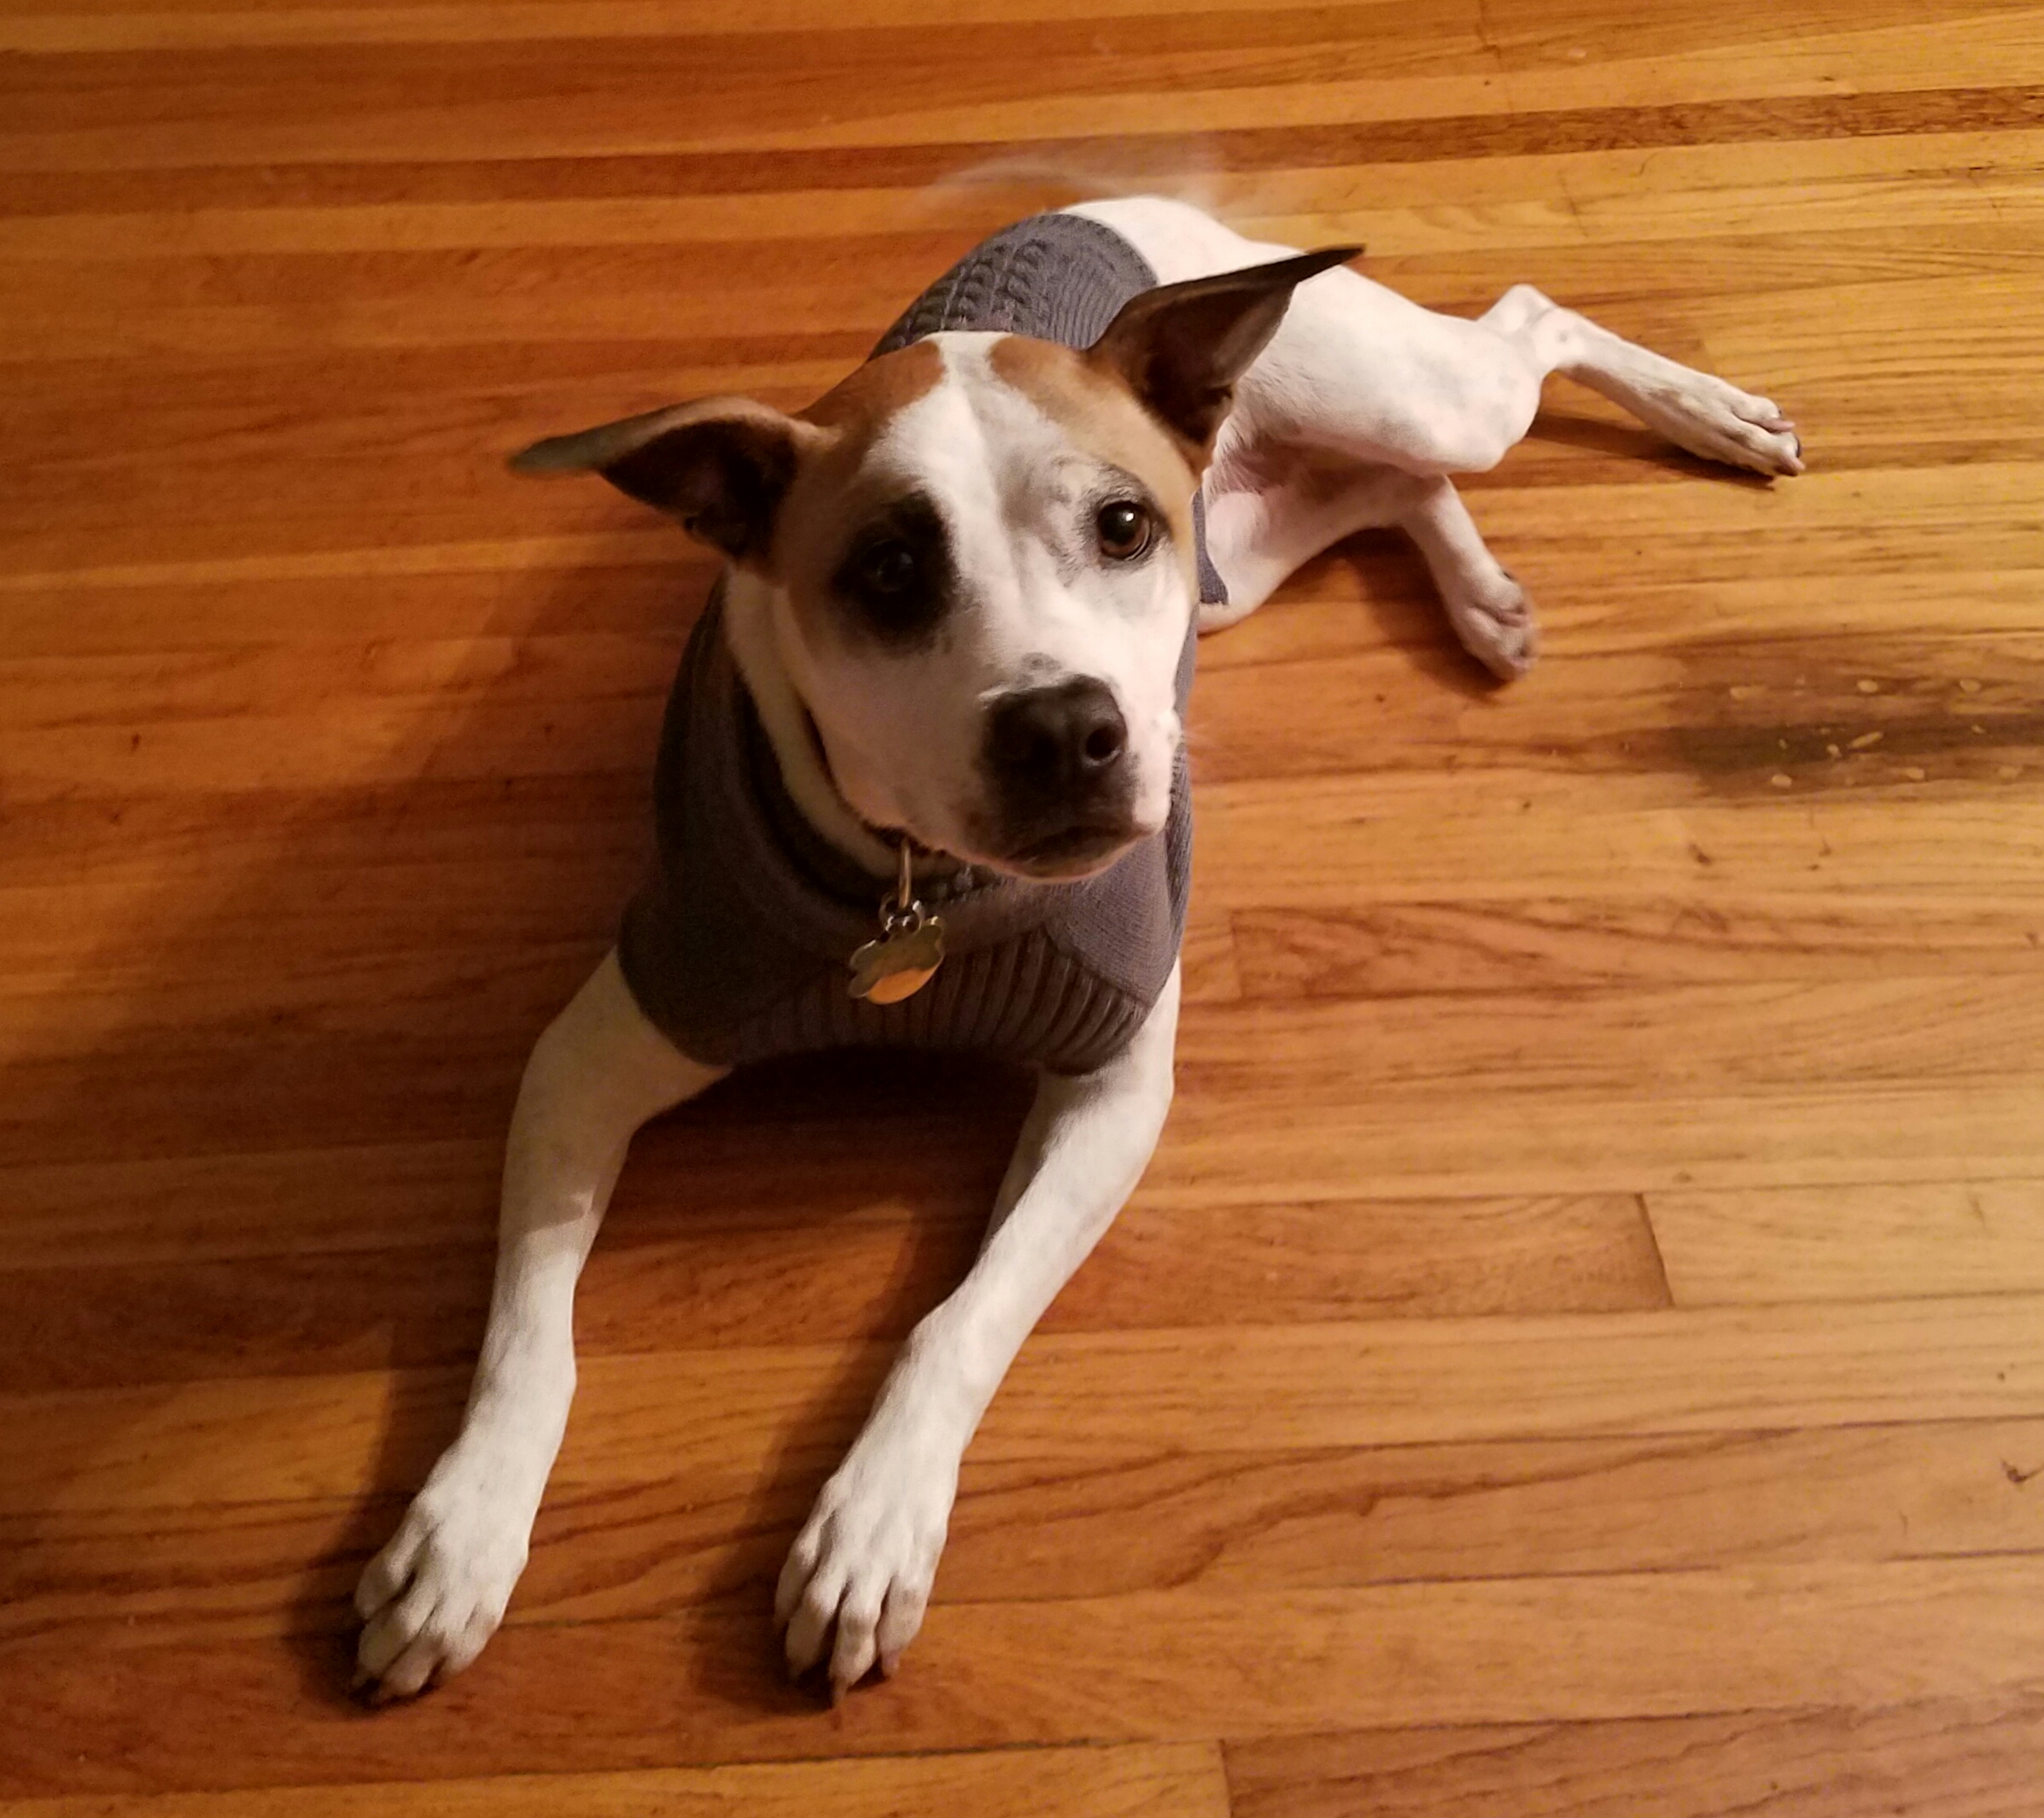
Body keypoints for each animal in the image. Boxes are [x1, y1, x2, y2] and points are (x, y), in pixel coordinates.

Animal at [352, 194, 1801, 1703]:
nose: (1062, 730)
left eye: (1115, 524)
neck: (920, 889)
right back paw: (1481, 594)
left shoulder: (1110, 1085)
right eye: (888, 572)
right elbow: (531, 1336)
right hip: (1235, 565)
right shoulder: (601, 1047)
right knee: (1388, 489)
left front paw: (874, 1523)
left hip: (1395, 412)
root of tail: (1111, 201)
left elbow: (958, 1321)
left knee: (1524, 323)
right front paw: (462, 1529)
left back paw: (1707, 415)